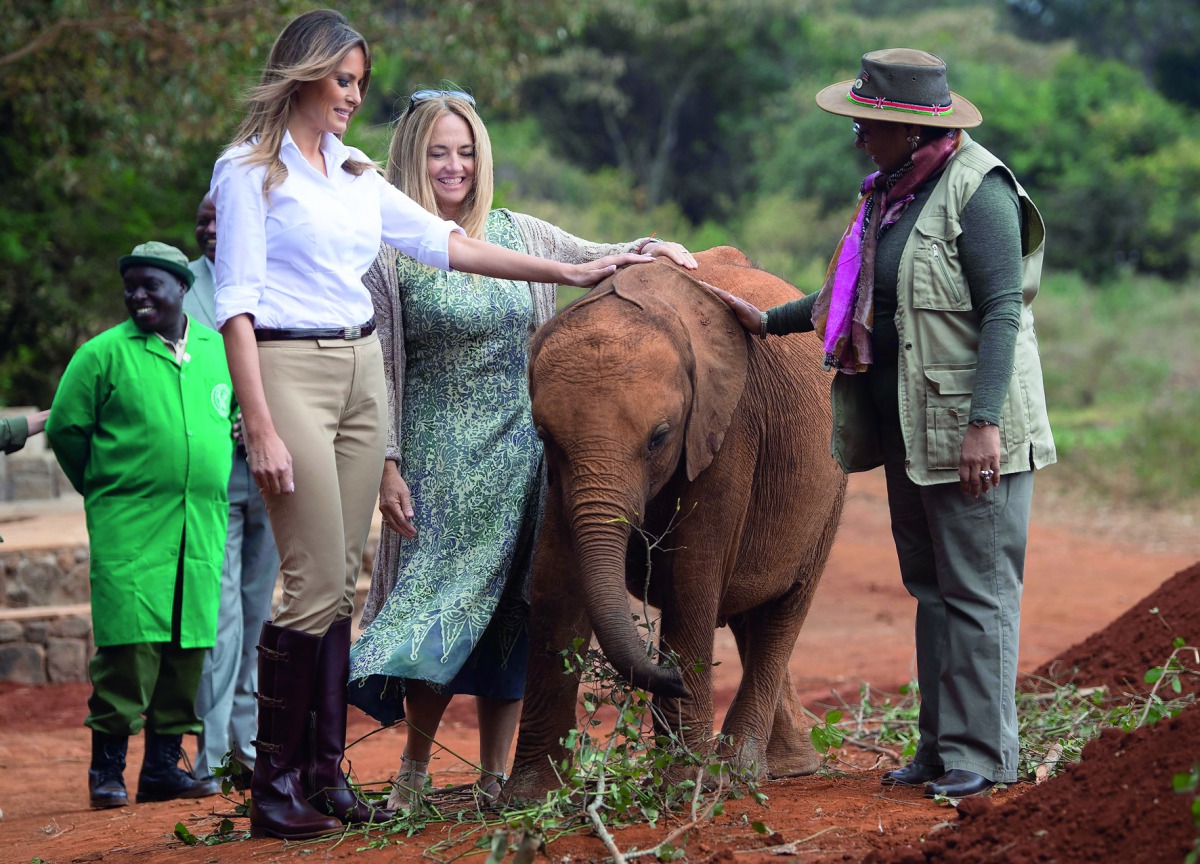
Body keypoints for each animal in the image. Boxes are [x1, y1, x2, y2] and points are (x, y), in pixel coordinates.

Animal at [503, 246, 847, 803]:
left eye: (660, 437)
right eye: (543, 435)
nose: (672, 676)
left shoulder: (728, 427)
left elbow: (692, 575)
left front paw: (684, 785)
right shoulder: (559, 476)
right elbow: (555, 579)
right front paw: (529, 799)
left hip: (829, 490)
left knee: (783, 611)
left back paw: (742, 771)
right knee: (751, 613)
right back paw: (785, 768)